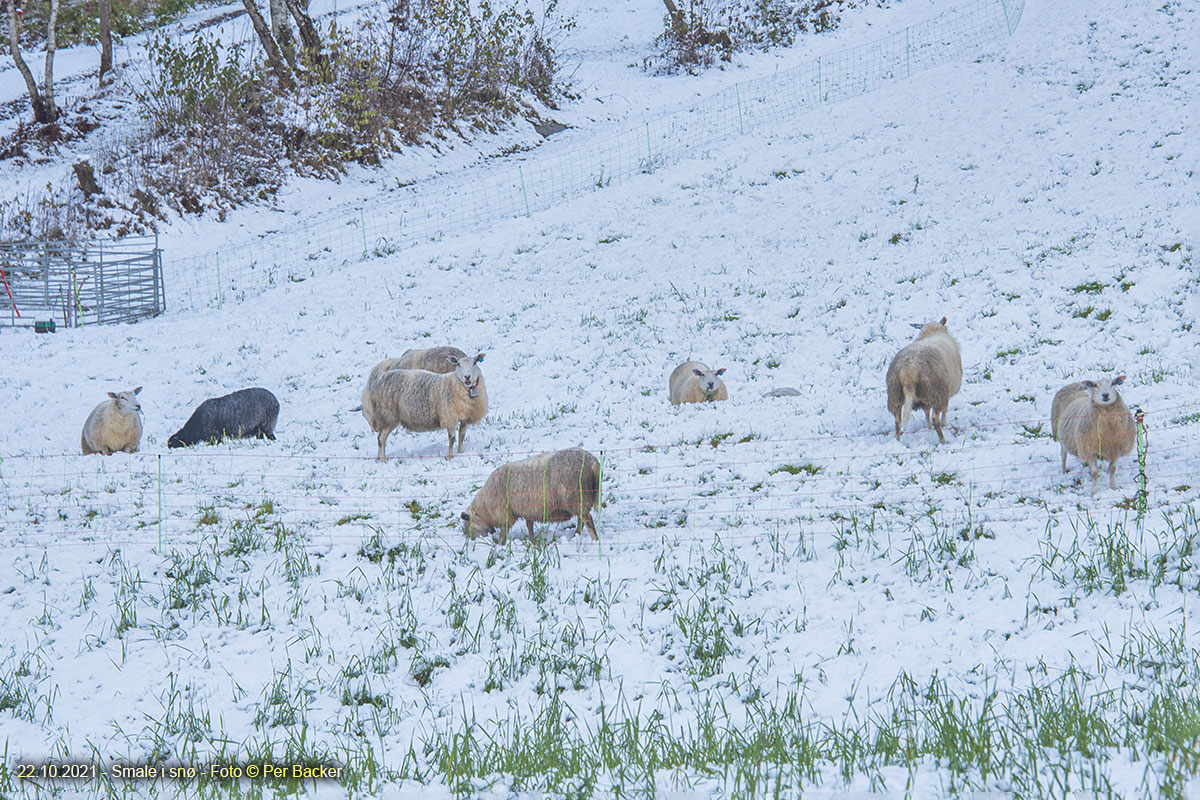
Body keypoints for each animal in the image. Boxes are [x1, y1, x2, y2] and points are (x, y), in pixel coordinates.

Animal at [463, 448, 604, 546]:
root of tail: (592, 462)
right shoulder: (528, 511)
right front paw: (533, 542)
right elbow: (529, 526)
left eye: (468, 527)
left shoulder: (506, 514)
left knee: (587, 520)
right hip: (580, 499)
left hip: (576, 497)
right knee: (581, 519)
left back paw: (595, 539)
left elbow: (504, 532)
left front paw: (501, 545)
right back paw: (576, 535)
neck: (485, 507)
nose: (473, 542)